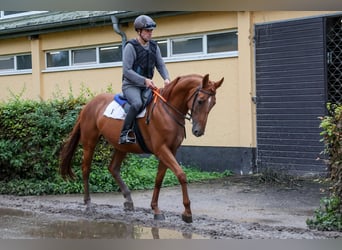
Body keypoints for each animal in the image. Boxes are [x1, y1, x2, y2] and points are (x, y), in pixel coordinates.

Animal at [59, 73, 224, 224]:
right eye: (201, 101)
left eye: (213, 103)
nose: (198, 131)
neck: (167, 110)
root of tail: (88, 105)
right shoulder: (162, 149)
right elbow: (181, 175)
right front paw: (187, 212)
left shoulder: (170, 150)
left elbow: (159, 178)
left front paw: (155, 209)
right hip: (90, 142)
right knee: (86, 169)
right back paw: (88, 203)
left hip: (121, 146)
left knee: (113, 168)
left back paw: (128, 200)